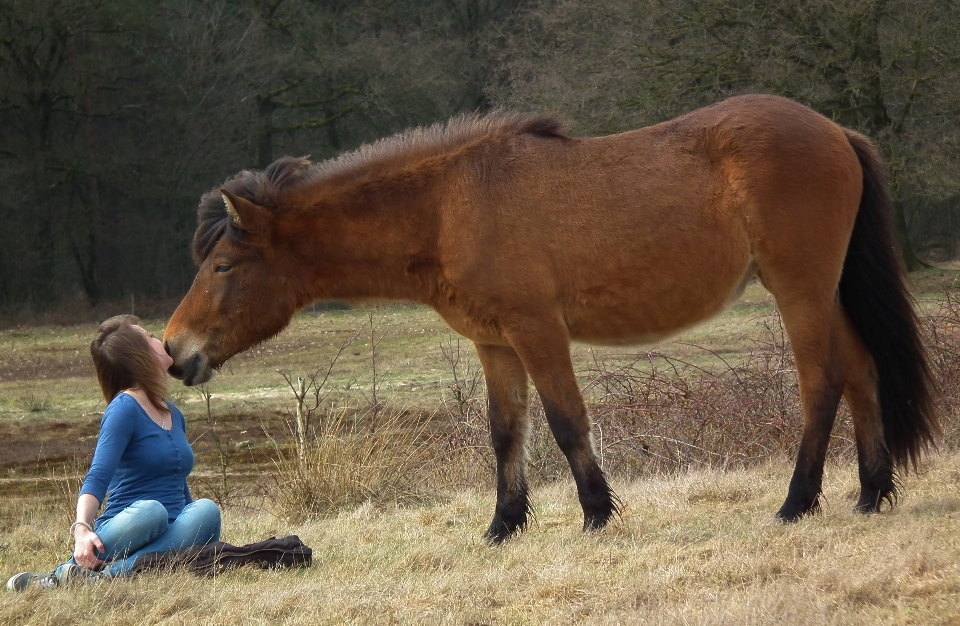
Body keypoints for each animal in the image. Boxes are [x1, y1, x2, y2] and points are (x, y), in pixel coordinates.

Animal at [163, 95, 936, 540]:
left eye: (222, 265)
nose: (173, 349)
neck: (446, 207)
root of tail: (834, 131)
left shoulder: (537, 332)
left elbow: (566, 422)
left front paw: (596, 512)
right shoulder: (495, 344)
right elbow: (506, 433)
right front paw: (503, 525)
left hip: (798, 290)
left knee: (821, 384)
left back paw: (797, 502)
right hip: (823, 292)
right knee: (862, 373)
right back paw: (872, 493)